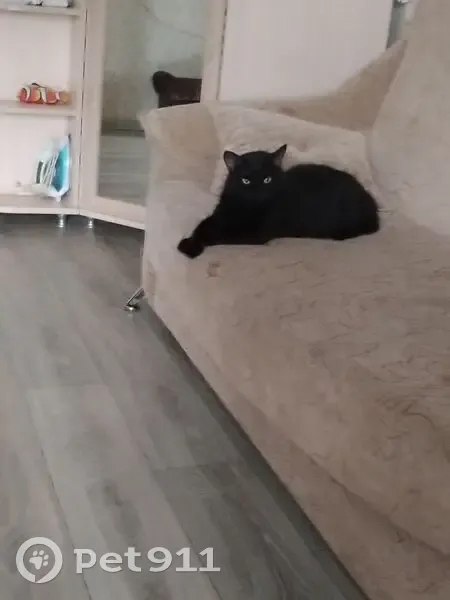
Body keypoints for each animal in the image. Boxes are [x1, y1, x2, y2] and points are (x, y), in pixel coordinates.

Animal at [177, 145, 379, 259]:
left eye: (267, 179)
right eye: (245, 180)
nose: (258, 192)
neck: (246, 208)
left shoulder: (255, 234)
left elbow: (218, 235)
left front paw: (194, 248)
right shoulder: (221, 215)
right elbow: (202, 225)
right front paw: (187, 243)